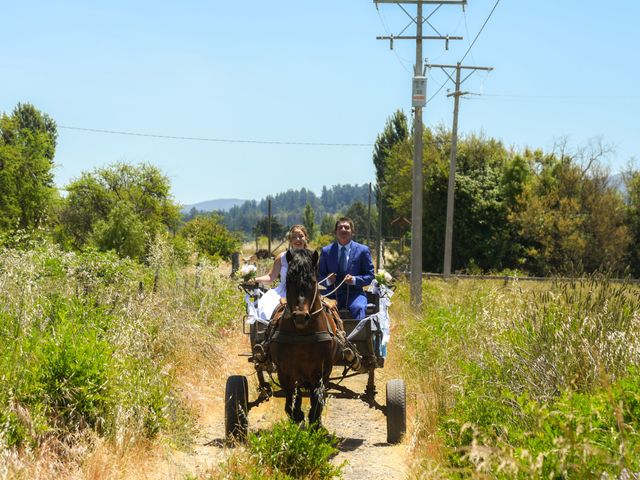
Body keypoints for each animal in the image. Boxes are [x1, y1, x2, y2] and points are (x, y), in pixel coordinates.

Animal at [268, 248, 340, 424]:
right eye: (288, 281)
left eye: (313, 281)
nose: (300, 316)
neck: (302, 335)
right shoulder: (285, 372)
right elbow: (291, 402)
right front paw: (298, 417)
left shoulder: (321, 373)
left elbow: (316, 403)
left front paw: (315, 423)